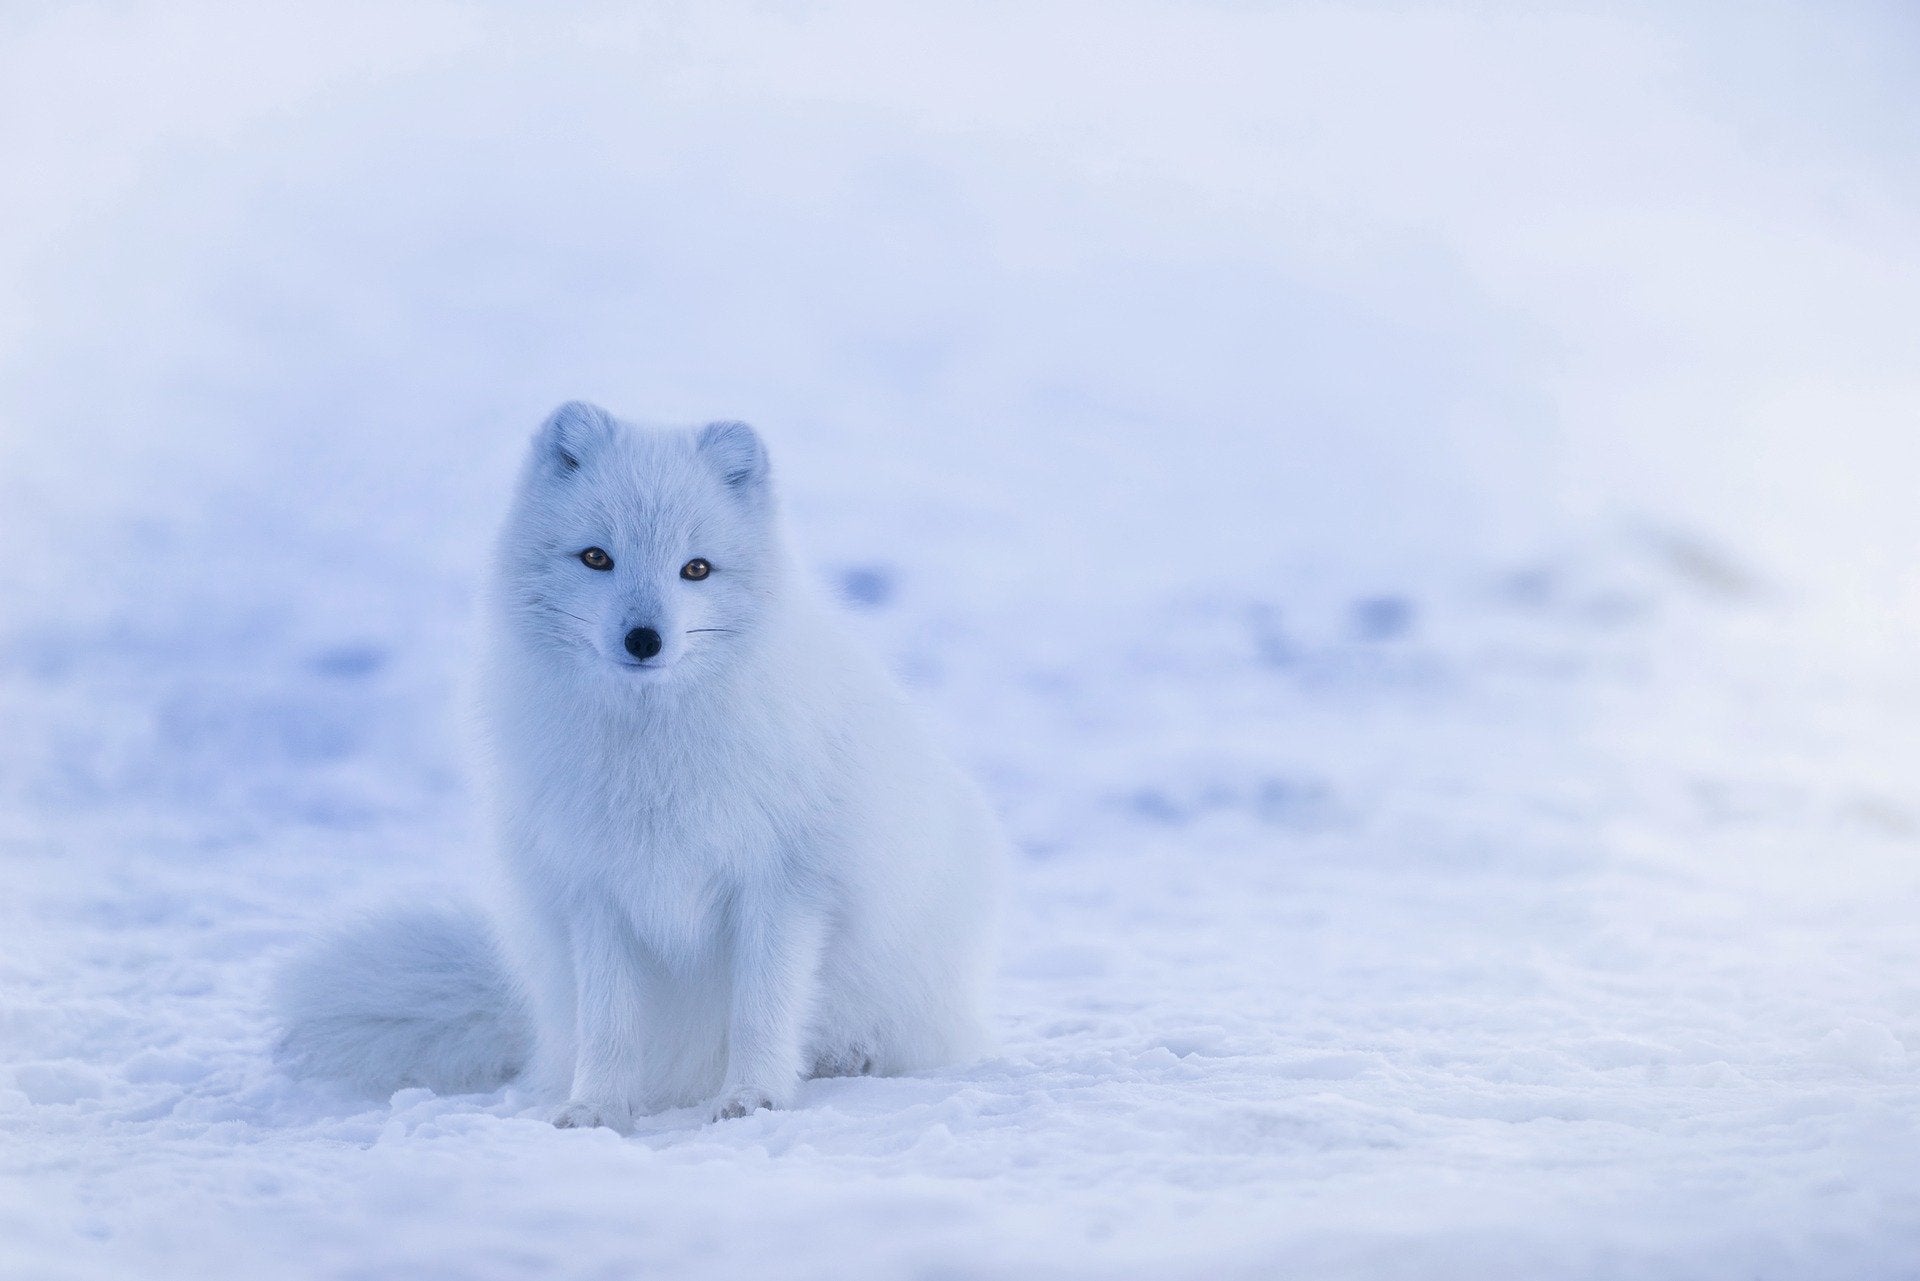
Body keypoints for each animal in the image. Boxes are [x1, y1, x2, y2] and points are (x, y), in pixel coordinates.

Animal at [284, 405, 1013, 1129]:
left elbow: (762, 1007)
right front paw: (598, 1107)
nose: (643, 638)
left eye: (696, 568)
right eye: (596, 557)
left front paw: (753, 1097)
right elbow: (609, 1020)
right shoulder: (595, 889)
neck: (651, 752)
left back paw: (848, 1057)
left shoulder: (782, 884)